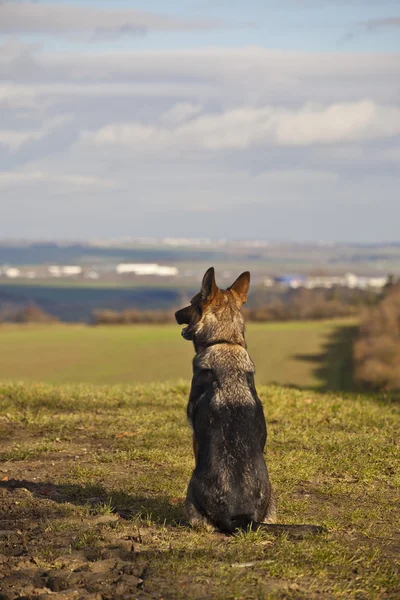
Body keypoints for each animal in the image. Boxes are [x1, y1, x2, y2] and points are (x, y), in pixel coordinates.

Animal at [175, 270, 324, 536]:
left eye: (192, 303)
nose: (174, 314)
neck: (225, 342)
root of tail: (243, 519)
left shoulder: (195, 436)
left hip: (190, 495)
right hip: (273, 498)